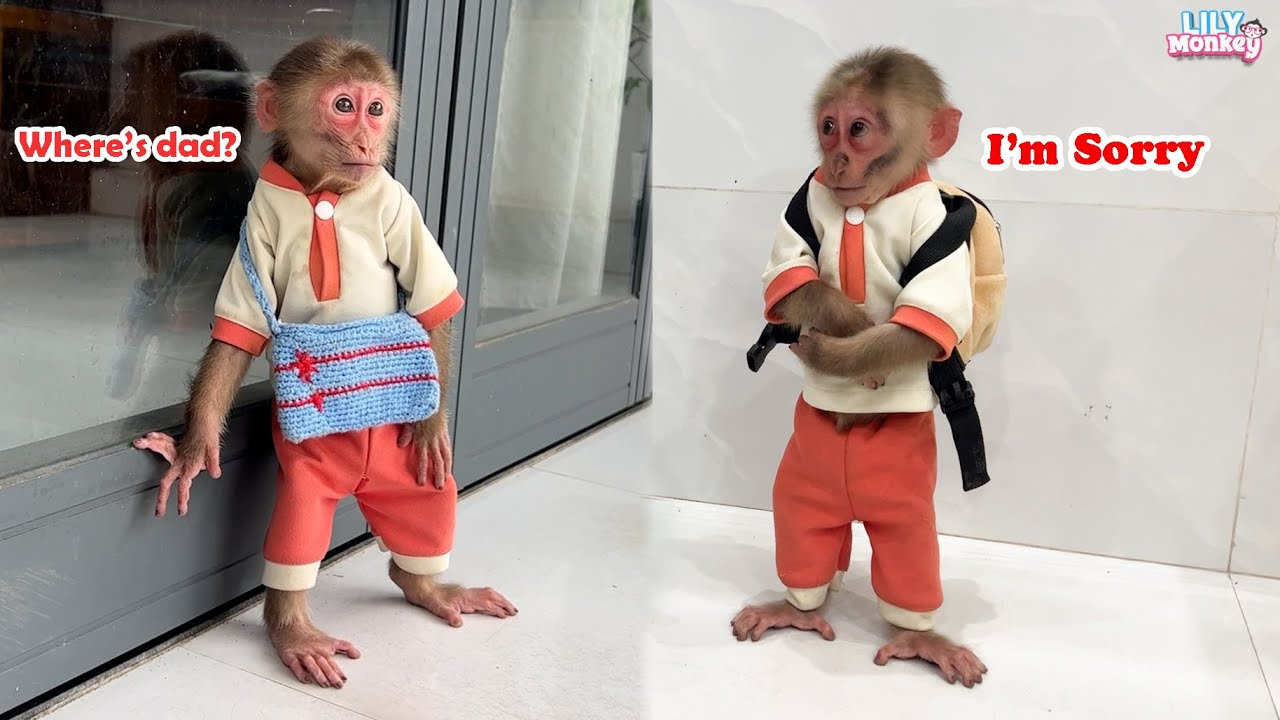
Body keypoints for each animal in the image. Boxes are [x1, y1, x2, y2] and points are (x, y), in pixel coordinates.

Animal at [134, 37, 516, 690]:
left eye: (375, 109)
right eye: (343, 106)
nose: (366, 139)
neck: (323, 194)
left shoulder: (402, 208)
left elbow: (432, 306)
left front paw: (433, 426)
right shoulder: (252, 228)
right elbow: (237, 338)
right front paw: (194, 447)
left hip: (401, 466)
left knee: (425, 507)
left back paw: (426, 584)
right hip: (308, 462)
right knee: (300, 524)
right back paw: (294, 628)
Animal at [730, 47, 988, 688]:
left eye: (860, 129)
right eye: (829, 126)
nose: (836, 158)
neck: (867, 205)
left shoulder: (945, 234)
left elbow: (918, 329)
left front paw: (839, 357)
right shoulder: (805, 203)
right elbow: (793, 281)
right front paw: (836, 334)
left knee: (907, 539)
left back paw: (917, 635)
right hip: (808, 454)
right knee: (803, 520)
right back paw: (799, 606)